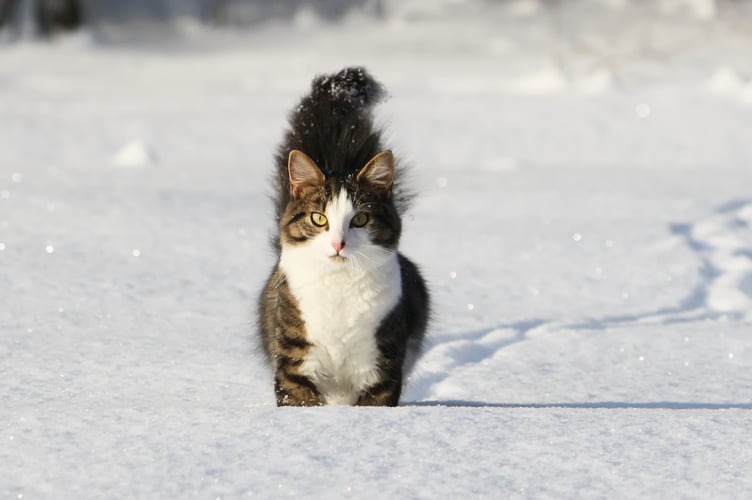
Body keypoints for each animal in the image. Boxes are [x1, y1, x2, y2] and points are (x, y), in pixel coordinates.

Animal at [258, 66, 428, 406]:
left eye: (360, 219)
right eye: (319, 218)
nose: (339, 243)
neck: (339, 287)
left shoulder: (381, 365)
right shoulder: (295, 362)